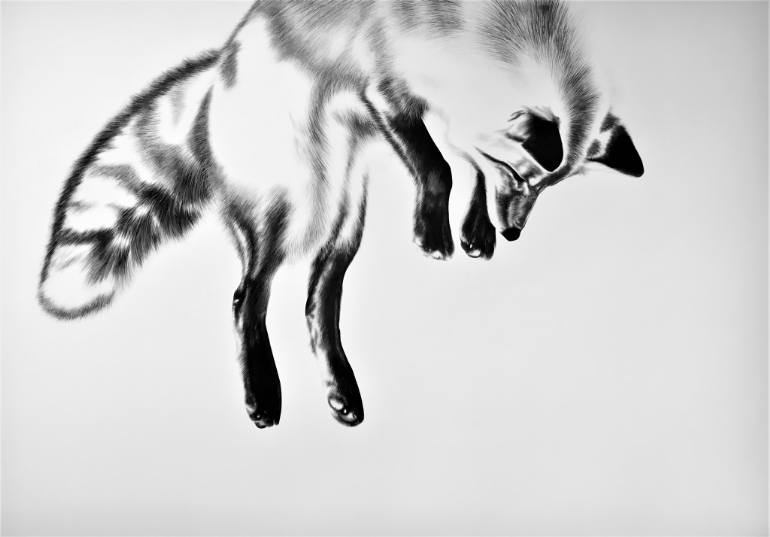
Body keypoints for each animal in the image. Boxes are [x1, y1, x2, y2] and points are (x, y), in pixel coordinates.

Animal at [38, 0, 644, 428]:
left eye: (545, 190)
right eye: (521, 178)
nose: (515, 233)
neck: (481, 31)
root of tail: (218, 70)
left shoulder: (448, 111)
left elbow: (464, 164)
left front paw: (474, 228)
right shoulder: (386, 89)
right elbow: (440, 169)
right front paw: (435, 231)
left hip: (347, 214)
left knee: (315, 302)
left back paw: (341, 390)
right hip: (301, 202)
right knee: (247, 295)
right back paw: (262, 392)